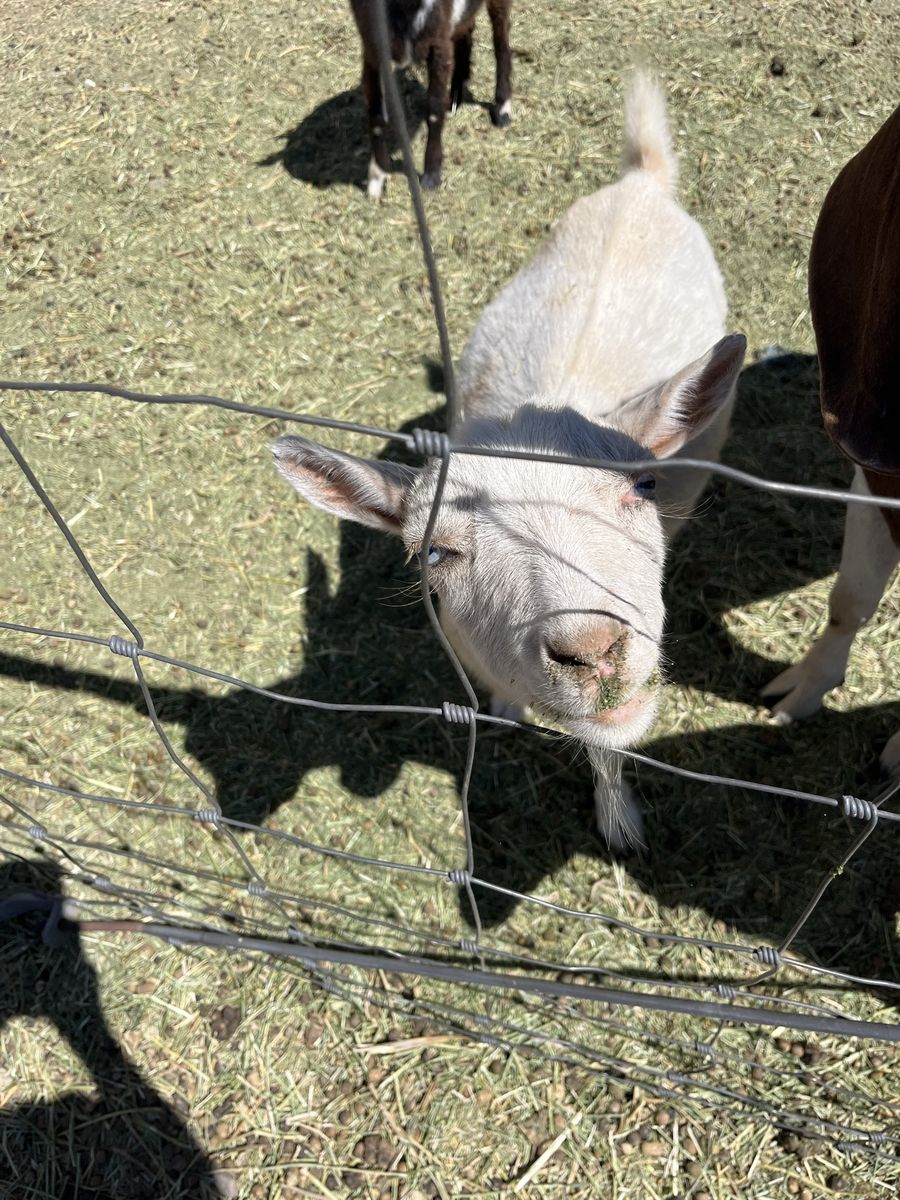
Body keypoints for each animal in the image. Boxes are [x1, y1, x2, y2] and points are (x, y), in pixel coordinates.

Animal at [273, 74, 746, 848]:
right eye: (435, 552)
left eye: (642, 487)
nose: (592, 650)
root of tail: (640, 181)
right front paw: (504, 710)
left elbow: (608, 738)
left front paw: (618, 818)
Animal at [349, 0, 513, 198]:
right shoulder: (372, 48)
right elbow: (376, 116)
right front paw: (376, 181)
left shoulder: (438, 44)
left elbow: (434, 109)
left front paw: (431, 177)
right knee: (466, 27)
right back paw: (455, 96)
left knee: (501, 39)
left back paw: (503, 109)